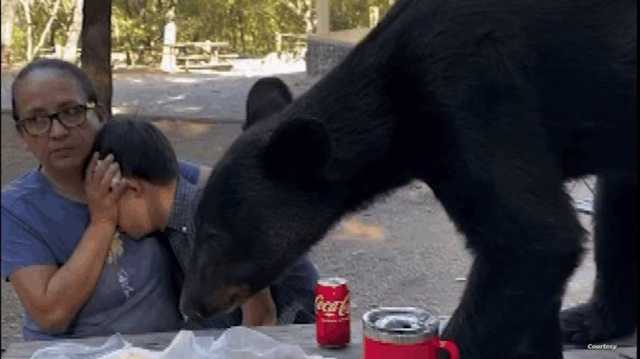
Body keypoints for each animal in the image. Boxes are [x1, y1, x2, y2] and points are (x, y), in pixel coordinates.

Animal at [180, 1, 636, 358]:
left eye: (215, 235)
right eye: (195, 228)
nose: (190, 304)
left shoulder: (473, 93)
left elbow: (532, 238)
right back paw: (590, 319)